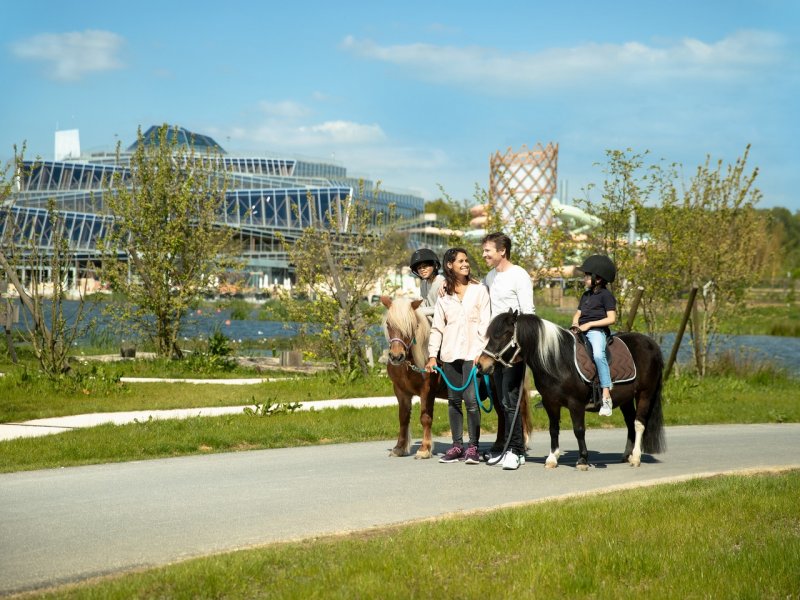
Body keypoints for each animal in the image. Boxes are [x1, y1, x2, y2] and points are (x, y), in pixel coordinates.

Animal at [378, 296, 528, 460]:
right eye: (388, 324)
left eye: (412, 326)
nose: (396, 356)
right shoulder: (401, 392)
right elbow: (403, 418)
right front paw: (399, 447)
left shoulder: (427, 391)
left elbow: (425, 418)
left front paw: (424, 449)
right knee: (502, 413)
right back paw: (499, 444)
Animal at [478, 312, 664, 472]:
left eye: (504, 334)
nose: (481, 364)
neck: (558, 360)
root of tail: (652, 345)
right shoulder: (551, 403)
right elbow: (553, 429)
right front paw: (552, 459)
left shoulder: (576, 404)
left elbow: (579, 430)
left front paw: (582, 460)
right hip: (626, 399)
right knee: (630, 423)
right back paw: (627, 455)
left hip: (645, 394)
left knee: (639, 423)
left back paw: (636, 457)